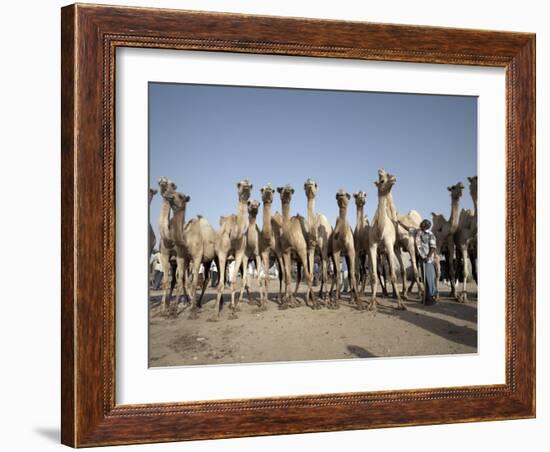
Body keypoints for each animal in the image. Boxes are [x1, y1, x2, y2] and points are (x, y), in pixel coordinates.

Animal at [213, 177, 254, 318]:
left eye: (251, 185)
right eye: (239, 184)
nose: (246, 185)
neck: (234, 235)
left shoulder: (240, 253)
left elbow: (234, 281)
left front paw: (233, 310)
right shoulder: (222, 253)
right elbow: (221, 284)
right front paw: (215, 314)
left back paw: (232, 304)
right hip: (218, 258)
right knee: (220, 280)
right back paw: (218, 305)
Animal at [368, 169, 408, 310]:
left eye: (388, 174)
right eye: (381, 180)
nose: (394, 178)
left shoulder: (389, 245)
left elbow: (394, 276)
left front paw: (400, 304)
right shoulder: (372, 246)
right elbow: (374, 276)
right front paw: (372, 303)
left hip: (394, 249)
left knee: (398, 269)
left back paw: (400, 296)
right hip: (381, 253)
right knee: (383, 272)